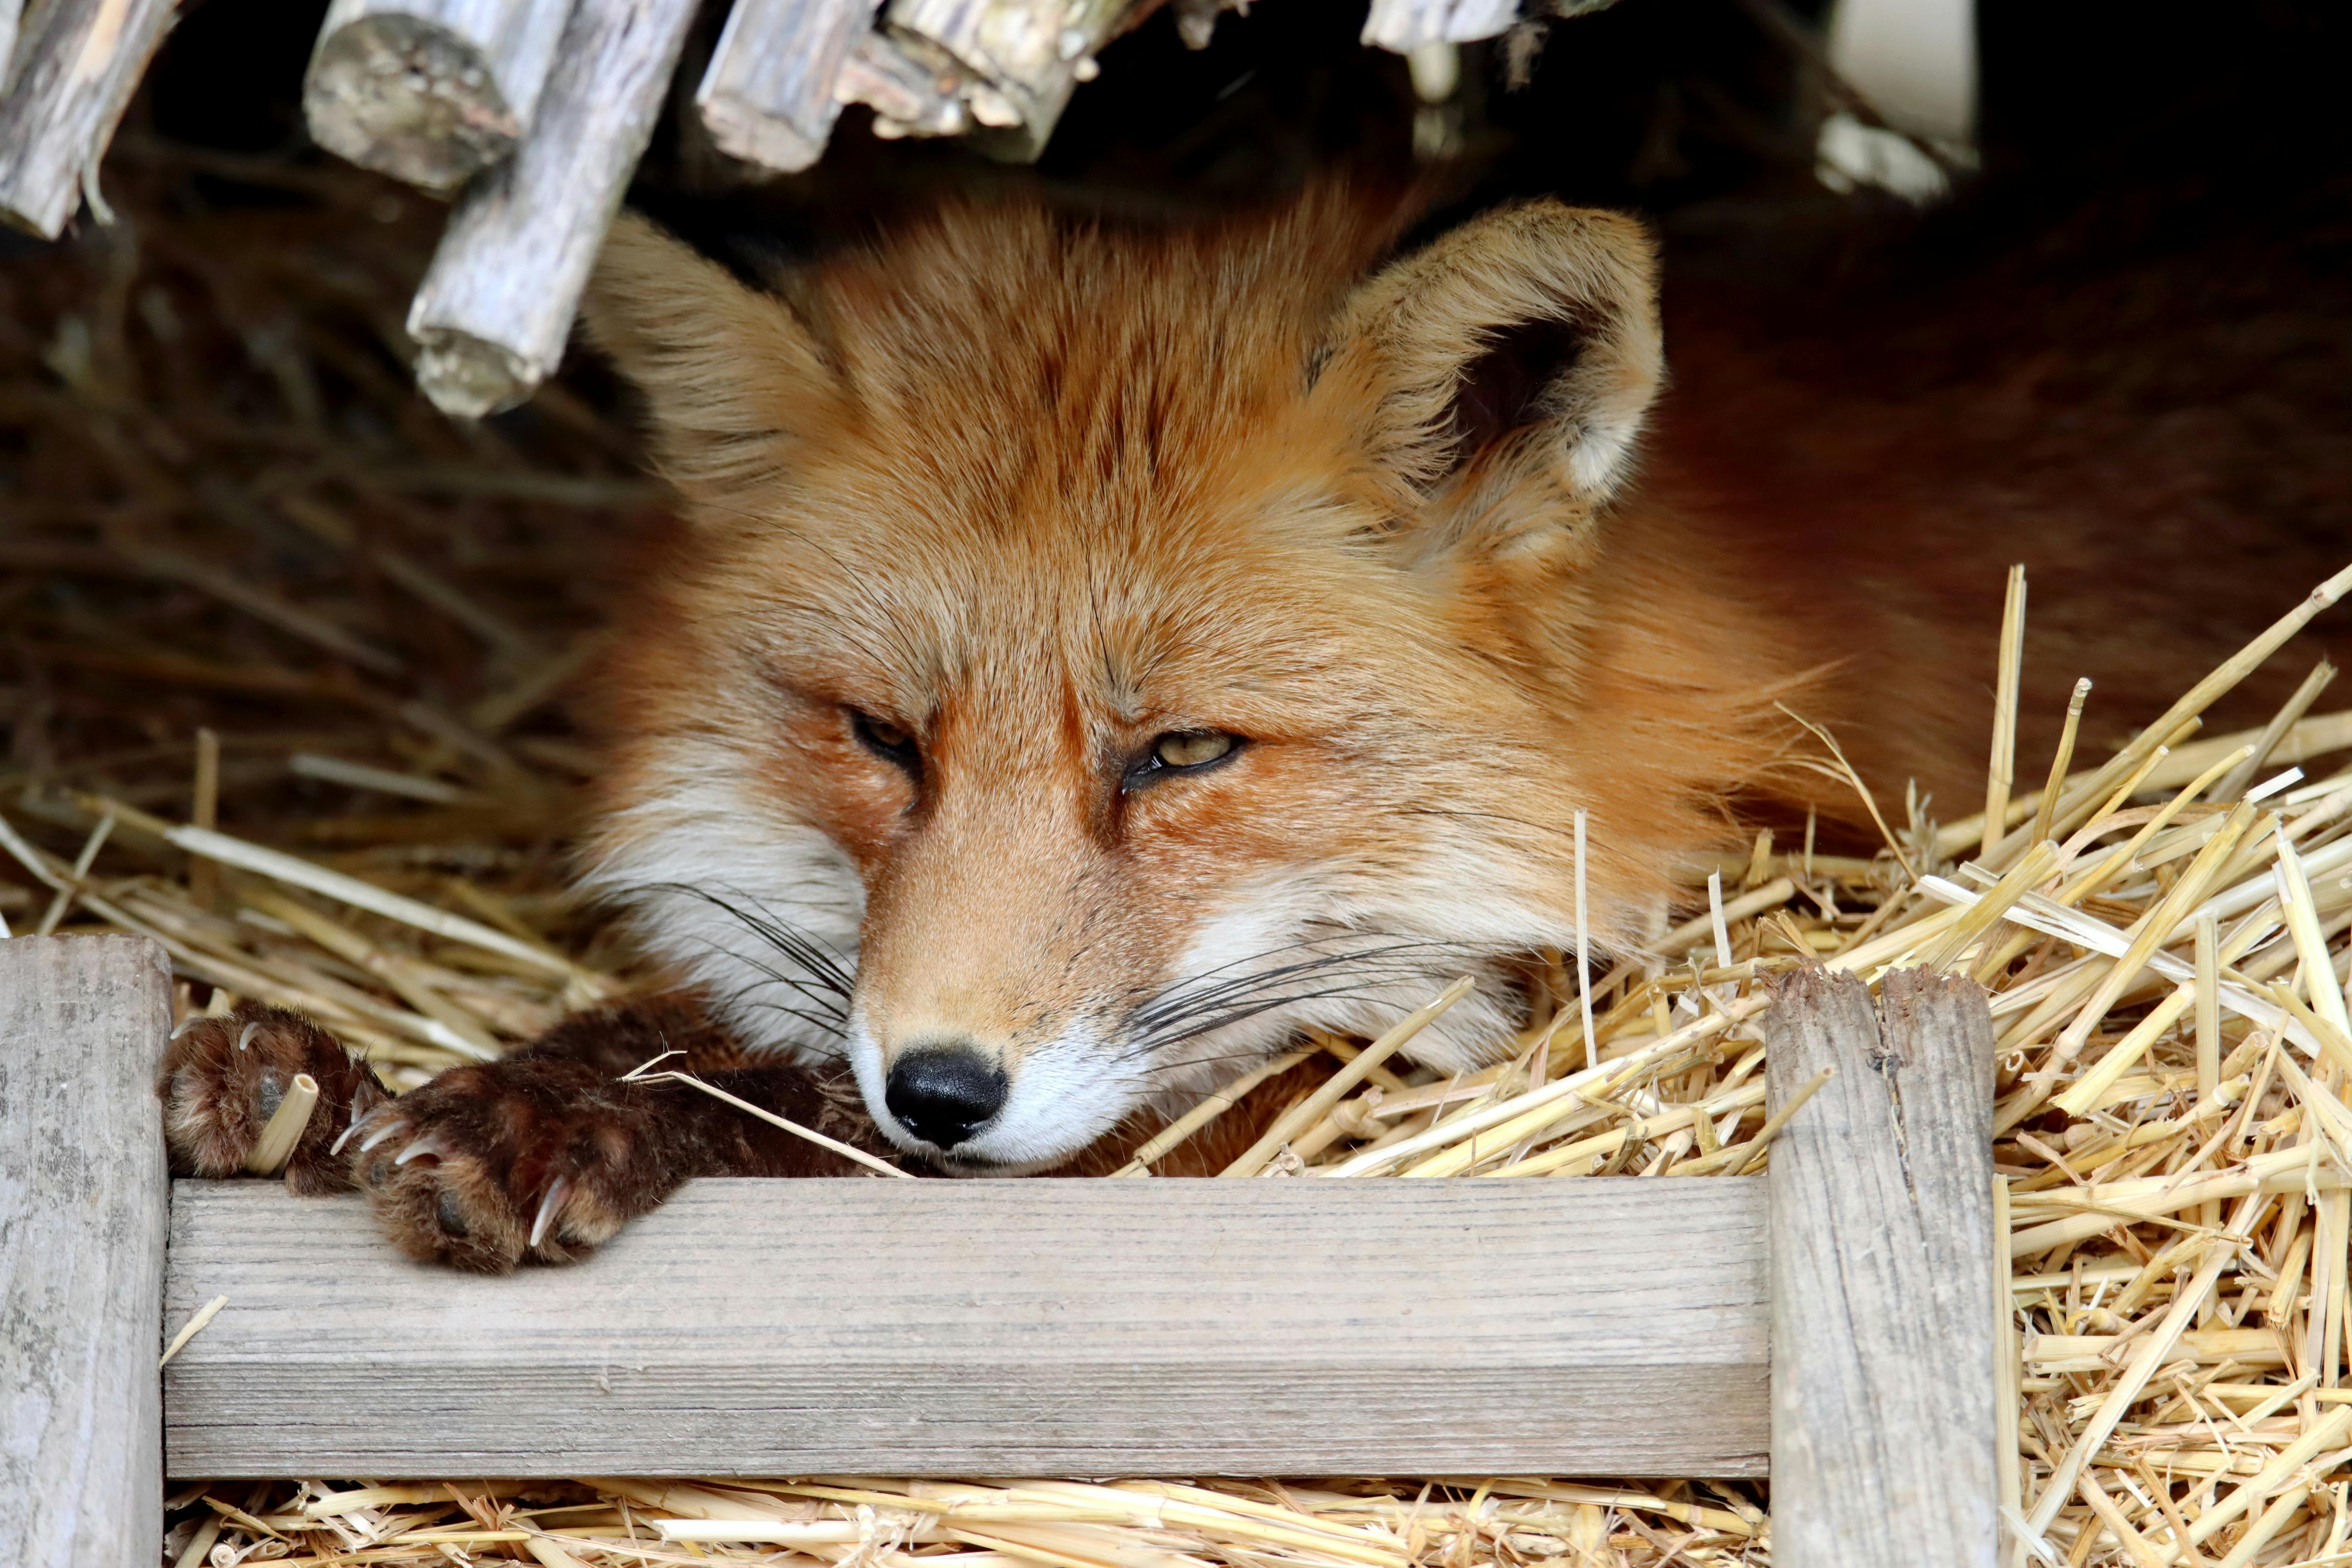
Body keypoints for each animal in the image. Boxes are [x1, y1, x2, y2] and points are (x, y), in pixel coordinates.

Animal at [159, 182, 2350, 1271]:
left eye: (1180, 755)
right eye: (879, 736)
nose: (936, 1087)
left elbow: (824, 1097)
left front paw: (564, 1108)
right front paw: (310, 1072)